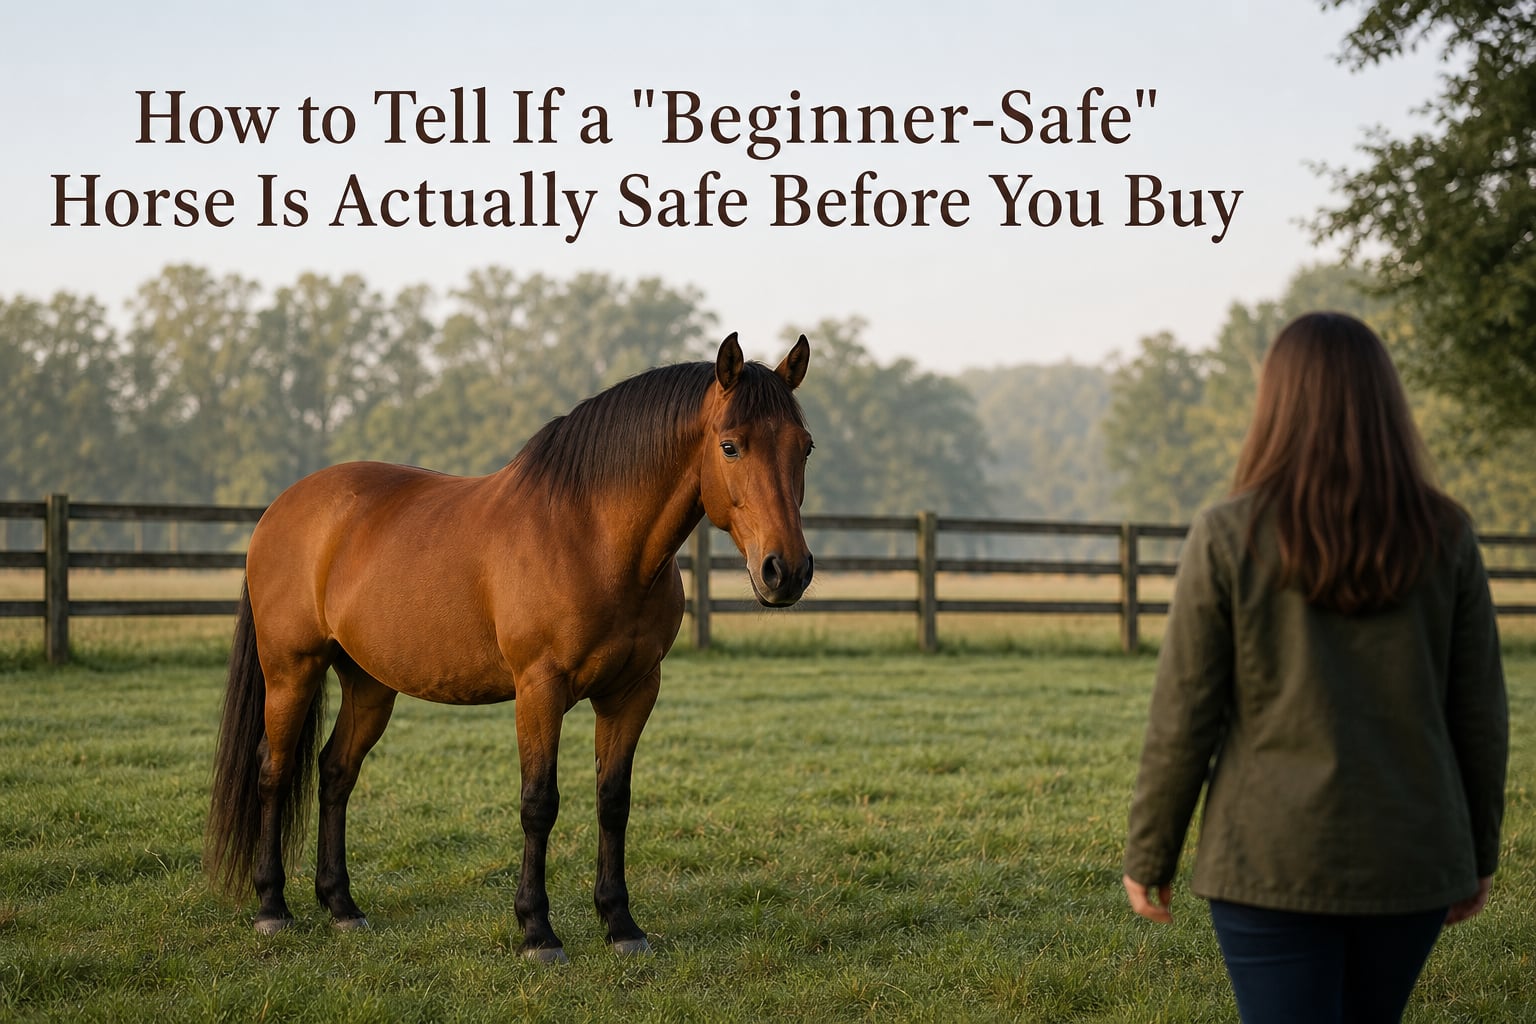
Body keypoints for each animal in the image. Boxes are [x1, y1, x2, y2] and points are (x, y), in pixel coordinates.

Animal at [205, 333, 813, 962]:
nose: (786, 571)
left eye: (805, 447)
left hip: (369, 684)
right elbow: (538, 803)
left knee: (335, 772)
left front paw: (621, 924)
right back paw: (272, 907)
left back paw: (343, 907)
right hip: (290, 671)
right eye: (730, 446)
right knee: (273, 772)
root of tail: (281, 509)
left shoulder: (633, 691)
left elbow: (613, 801)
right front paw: (537, 931)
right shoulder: (539, 689)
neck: (592, 537)